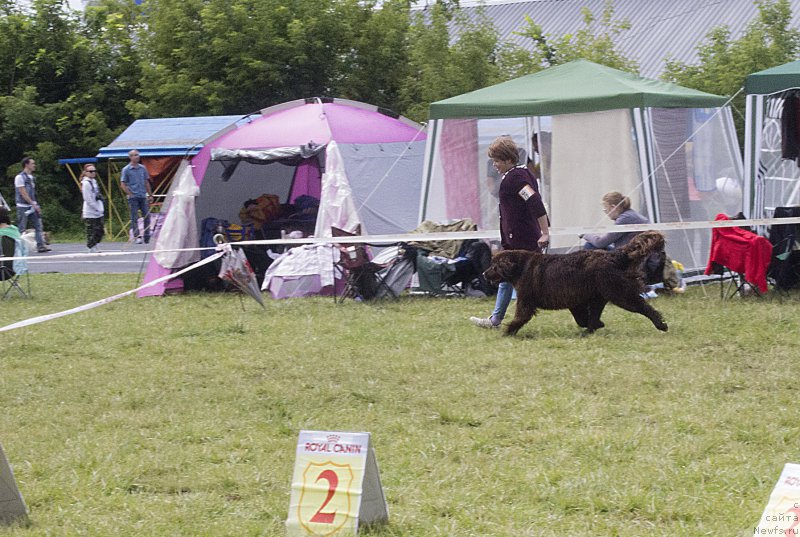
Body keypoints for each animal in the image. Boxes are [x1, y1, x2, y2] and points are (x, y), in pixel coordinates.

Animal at [488, 230, 668, 336]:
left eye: (494, 265)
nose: (484, 273)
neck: (521, 267)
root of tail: (613, 255)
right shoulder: (574, 300)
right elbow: (582, 318)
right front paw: (597, 325)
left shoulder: (526, 300)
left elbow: (520, 317)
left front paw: (508, 331)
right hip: (600, 295)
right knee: (594, 316)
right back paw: (588, 331)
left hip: (619, 293)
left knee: (643, 306)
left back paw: (661, 324)